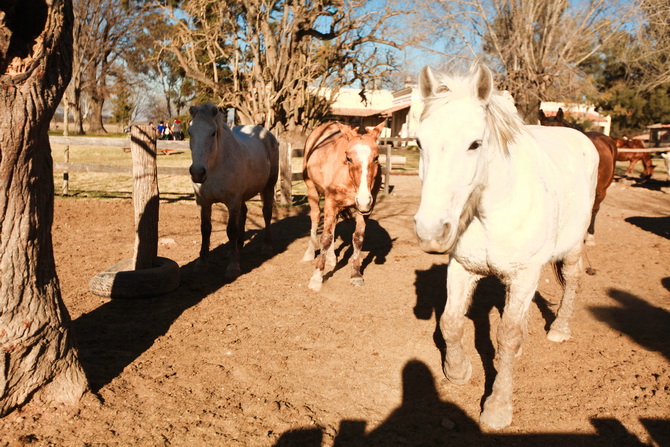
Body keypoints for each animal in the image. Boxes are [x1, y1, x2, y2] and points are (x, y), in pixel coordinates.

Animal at [304, 121, 386, 292]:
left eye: (376, 157)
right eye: (348, 158)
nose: (363, 199)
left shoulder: (365, 208)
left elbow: (358, 238)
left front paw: (356, 274)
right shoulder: (330, 202)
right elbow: (326, 238)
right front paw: (316, 278)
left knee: (333, 224)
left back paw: (331, 258)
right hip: (311, 189)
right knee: (315, 217)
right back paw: (309, 253)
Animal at [418, 64, 600, 430]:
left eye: (475, 144)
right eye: (418, 142)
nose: (430, 231)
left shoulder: (524, 273)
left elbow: (507, 335)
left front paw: (497, 407)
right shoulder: (463, 268)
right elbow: (451, 321)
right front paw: (457, 371)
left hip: (572, 247)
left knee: (572, 281)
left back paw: (559, 329)